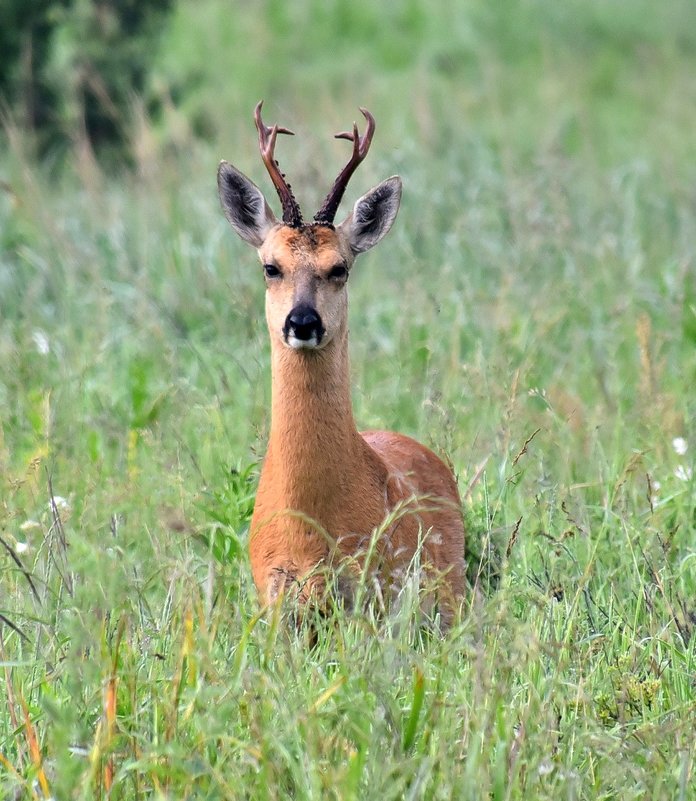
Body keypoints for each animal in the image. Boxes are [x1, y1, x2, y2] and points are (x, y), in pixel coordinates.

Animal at [220, 101, 464, 624]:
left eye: (340, 268)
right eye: (270, 267)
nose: (302, 321)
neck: (311, 532)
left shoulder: (377, 591)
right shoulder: (273, 596)